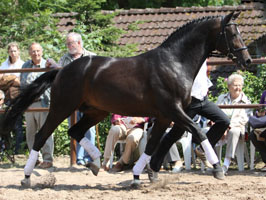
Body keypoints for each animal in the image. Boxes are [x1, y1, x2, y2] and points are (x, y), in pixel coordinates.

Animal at [4, 10, 251, 186]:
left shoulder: (165, 116)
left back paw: (95, 164)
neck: (174, 63)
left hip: (95, 111)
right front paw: (217, 169)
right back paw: (26, 177)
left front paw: (138, 175)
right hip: (61, 108)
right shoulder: (173, 111)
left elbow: (152, 145)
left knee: (75, 131)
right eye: (232, 33)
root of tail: (62, 70)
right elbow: (199, 132)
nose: (247, 60)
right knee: (41, 136)